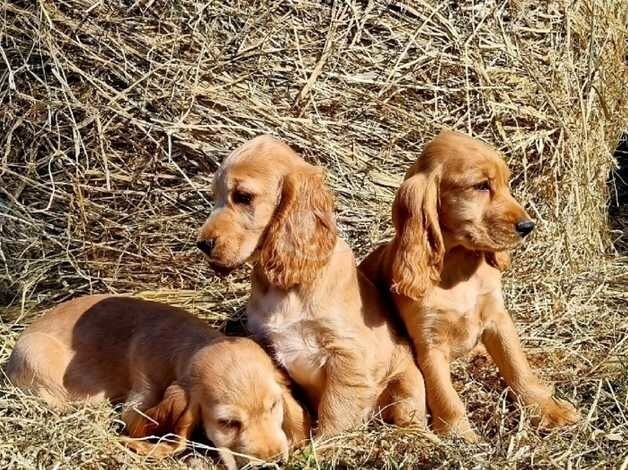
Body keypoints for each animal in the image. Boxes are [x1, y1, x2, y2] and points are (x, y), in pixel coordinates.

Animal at [4, 294, 310, 466]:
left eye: (274, 407)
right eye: (227, 422)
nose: (273, 462)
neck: (185, 341)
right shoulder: (140, 392)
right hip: (36, 355)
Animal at [197, 134, 426, 436]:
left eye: (243, 197)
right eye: (215, 197)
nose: (202, 244)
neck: (289, 286)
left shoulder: (347, 353)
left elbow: (336, 409)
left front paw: (327, 443)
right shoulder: (268, 348)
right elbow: (291, 407)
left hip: (406, 382)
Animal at [358, 129, 580, 440]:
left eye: (505, 184)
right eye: (481, 186)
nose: (528, 226)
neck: (457, 267)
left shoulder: (498, 318)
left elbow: (518, 367)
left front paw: (548, 409)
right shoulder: (429, 343)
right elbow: (445, 395)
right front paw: (459, 435)